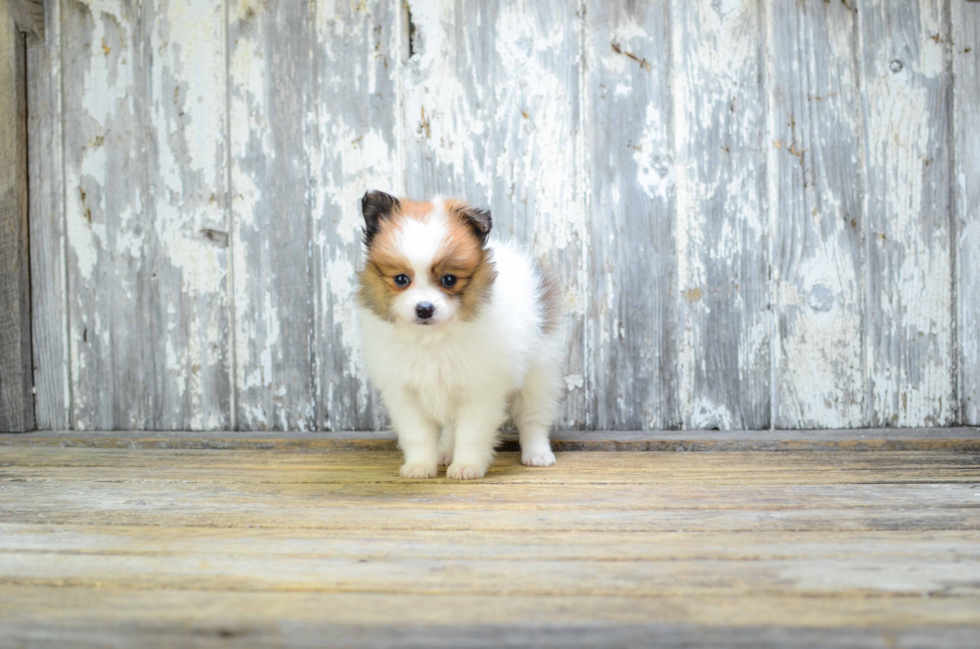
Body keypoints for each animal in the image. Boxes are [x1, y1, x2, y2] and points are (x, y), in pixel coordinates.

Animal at [356, 190, 564, 478]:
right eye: (400, 279)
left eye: (449, 279)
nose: (424, 309)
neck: (432, 338)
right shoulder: (405, 393)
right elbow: (417, 435)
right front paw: (420, 466)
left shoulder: (479, 389)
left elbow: (472, 433)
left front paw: (467, 467)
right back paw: (445, 452)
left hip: (539, 371)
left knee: (533, 417)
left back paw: (537, 454)